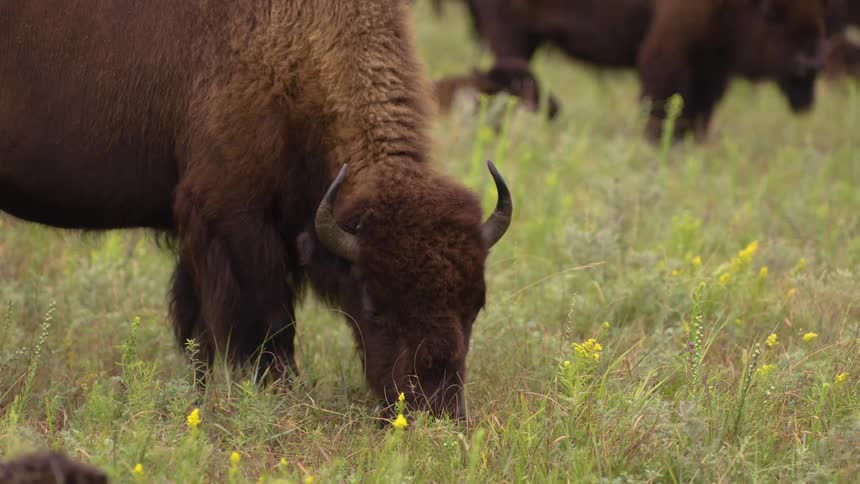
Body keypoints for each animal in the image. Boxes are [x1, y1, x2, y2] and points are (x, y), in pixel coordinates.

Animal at [0, 0, 512, 421]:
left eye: (477, 304)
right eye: (374, 304)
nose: (435, 412)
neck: (297, 42)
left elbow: (199, 331)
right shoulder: (234, 220)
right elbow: (267, 327)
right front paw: (279, 399)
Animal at [432, 0, 829, 141]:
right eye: (772, 12)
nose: (810, 63)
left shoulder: (711, 65)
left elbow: (700, 107)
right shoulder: (669, 51)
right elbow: (665, 100)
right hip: (511, 32)